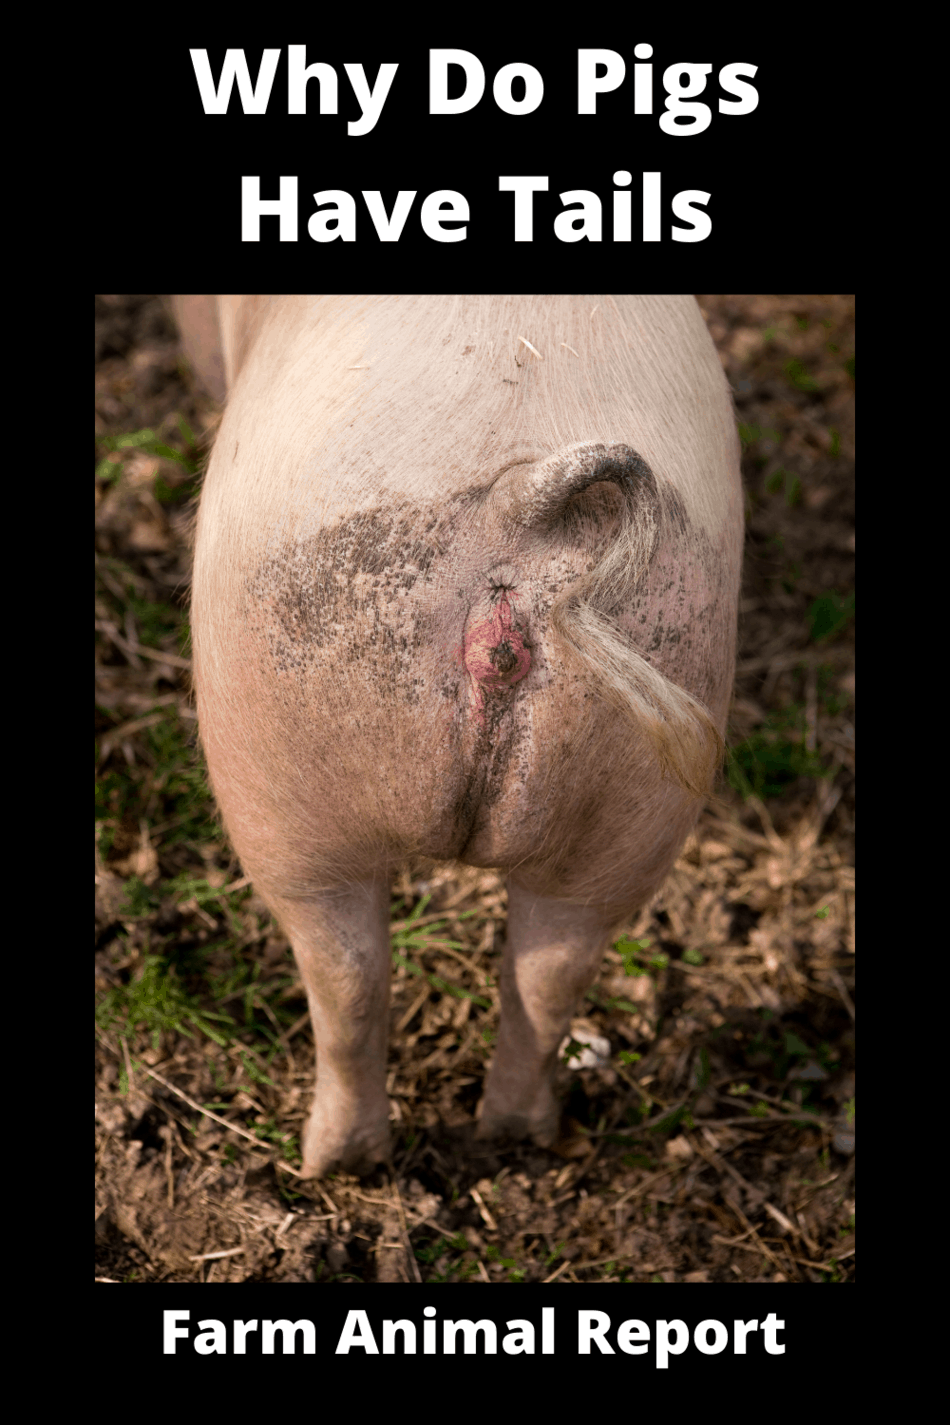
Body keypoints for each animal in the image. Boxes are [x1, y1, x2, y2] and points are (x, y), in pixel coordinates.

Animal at [175, 295, 743, 1179]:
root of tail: (520, 502)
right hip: (634, 803)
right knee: (548, 973)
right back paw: (511, 1134)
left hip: (272, 770)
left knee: (345, 973)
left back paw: (329, 1160)